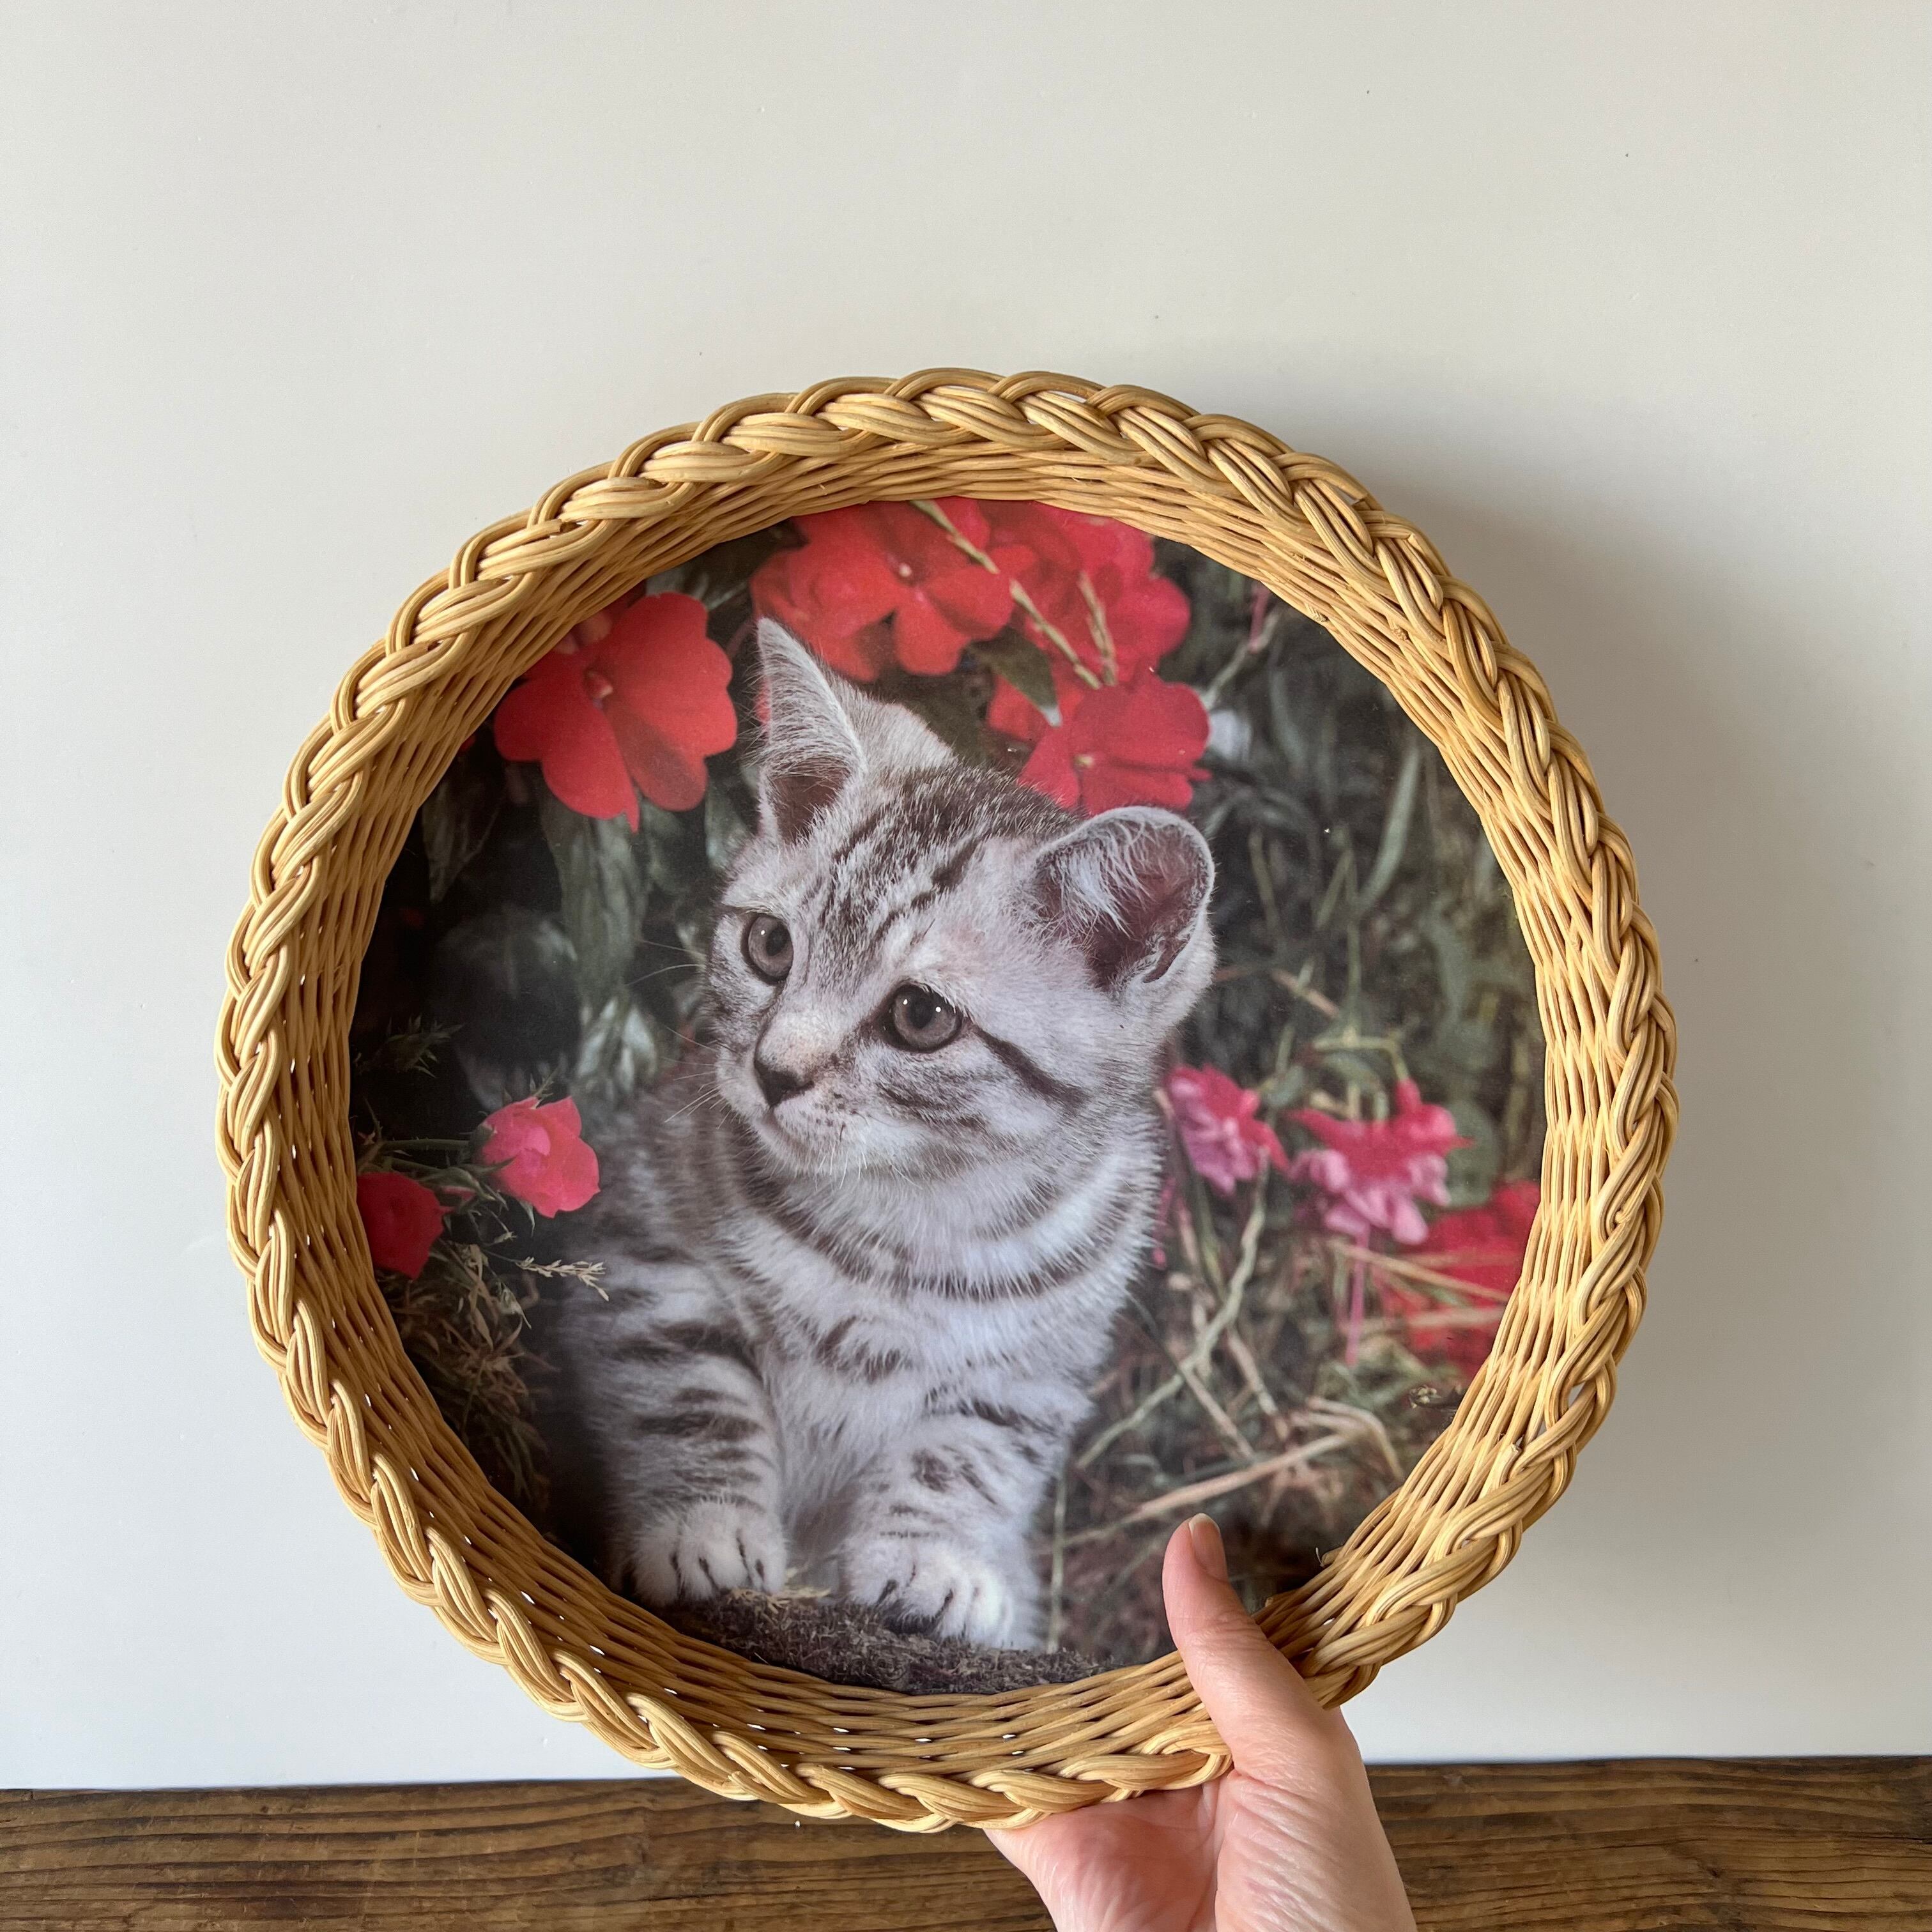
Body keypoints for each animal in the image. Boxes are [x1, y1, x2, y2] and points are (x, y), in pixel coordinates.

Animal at [550, 621, 1215, 1649]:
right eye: (770, 947)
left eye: (921, 1017)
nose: (773, 1071)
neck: (907, 1215)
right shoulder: (643, 1238)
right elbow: (688, 1388)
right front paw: (703, 1528)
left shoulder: (1042, 1363)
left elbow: (969, 1450)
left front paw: (933, 1558)